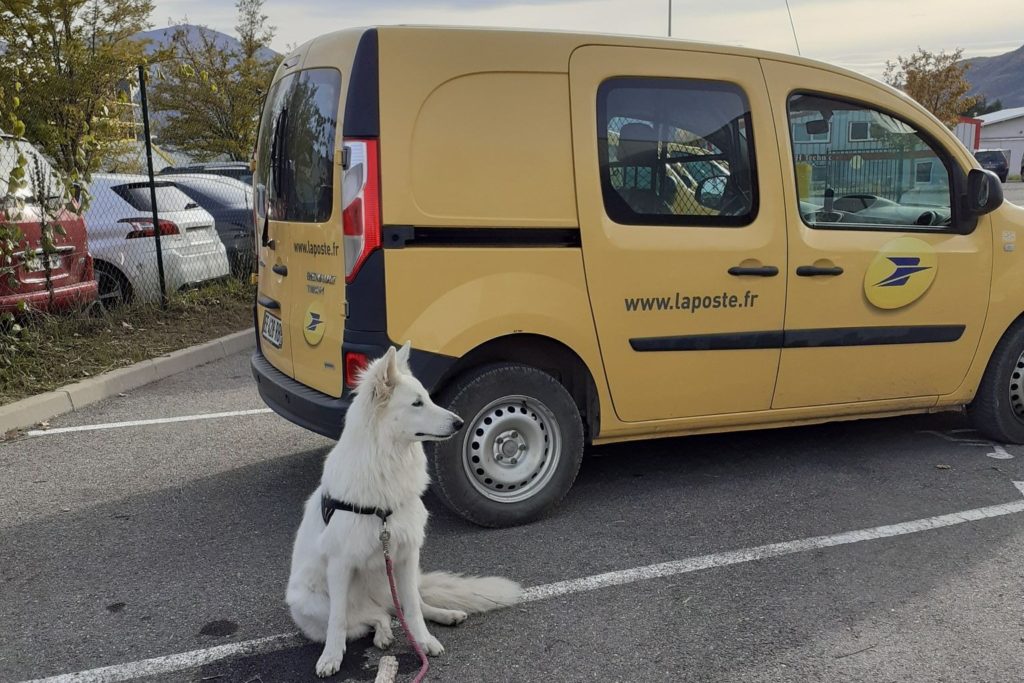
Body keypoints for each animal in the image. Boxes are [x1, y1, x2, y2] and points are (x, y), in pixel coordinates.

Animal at [288, 344, 524, 675]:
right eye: (417, 403)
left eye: (428, 397)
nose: (459, 423)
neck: (387, 463)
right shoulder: (340, 564)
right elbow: (338, 621)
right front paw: (331, 656)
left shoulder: (407, 554)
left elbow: (412, 608)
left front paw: (423, 641)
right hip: (310, 602)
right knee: (370, 617)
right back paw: (382, 634)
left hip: (395, 580)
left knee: (401, 607)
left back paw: (443, 615)